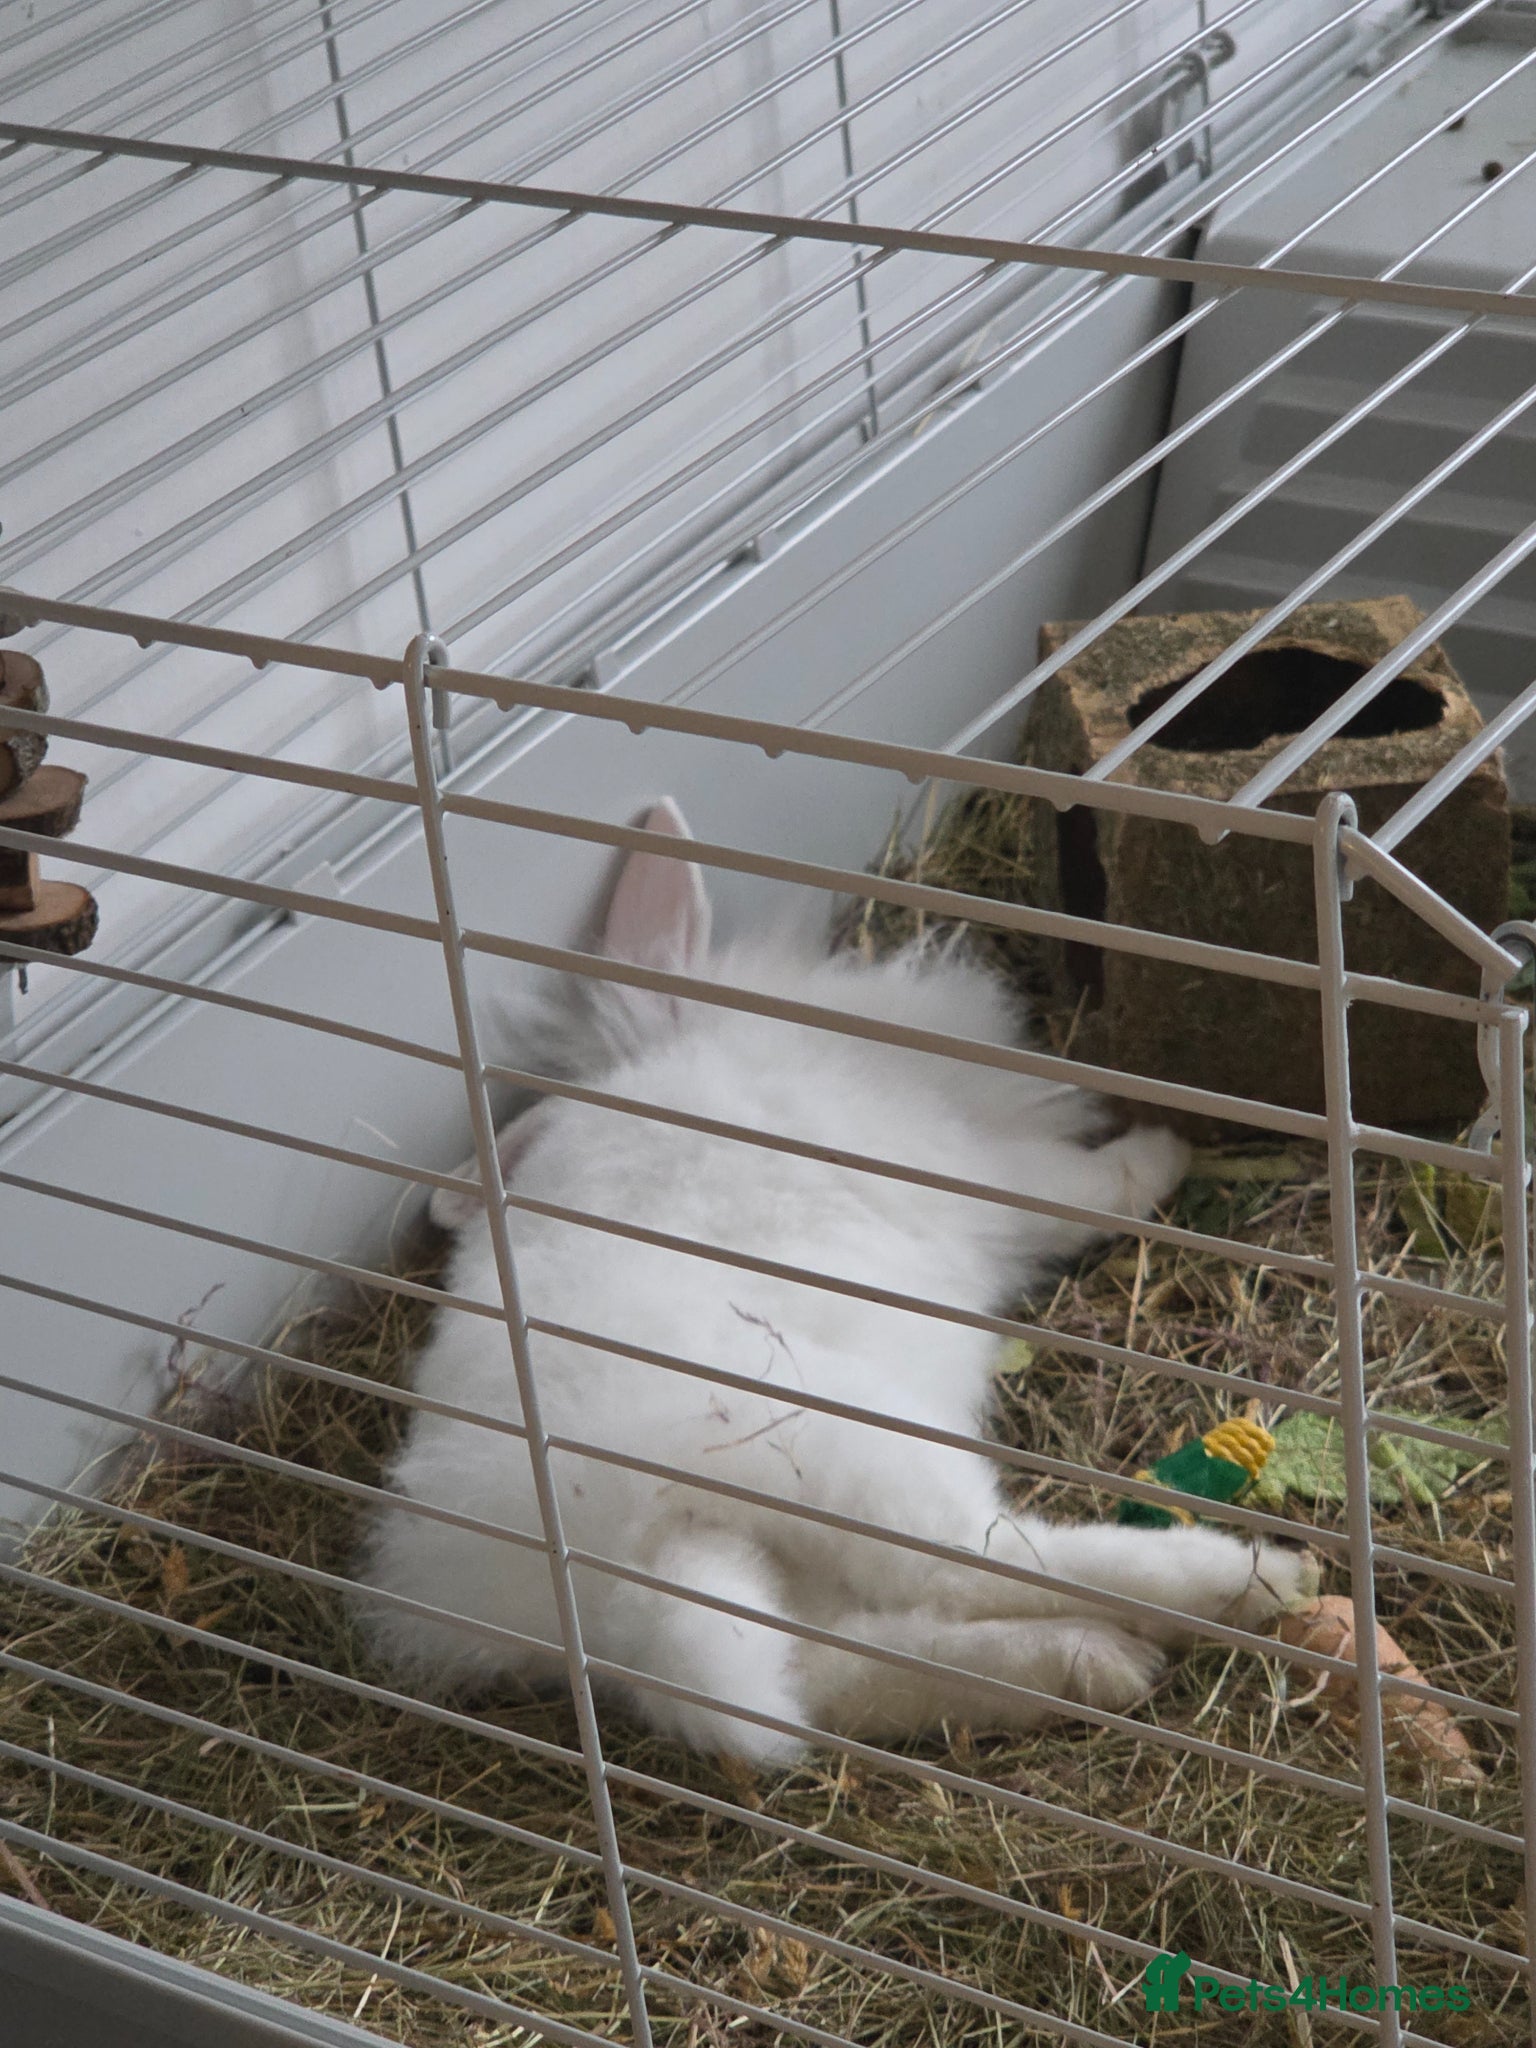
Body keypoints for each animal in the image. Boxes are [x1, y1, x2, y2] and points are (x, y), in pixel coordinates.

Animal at [357, 800, 1317, 1765]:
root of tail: (620, 1577)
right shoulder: (998, 1175)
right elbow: (1090, 1192)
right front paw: (1166, 1151)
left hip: (799, 1571)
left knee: (844, 1673)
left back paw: (1093, 1662)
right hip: (846, 1450)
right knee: (979, 1563)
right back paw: (1252, 1580)